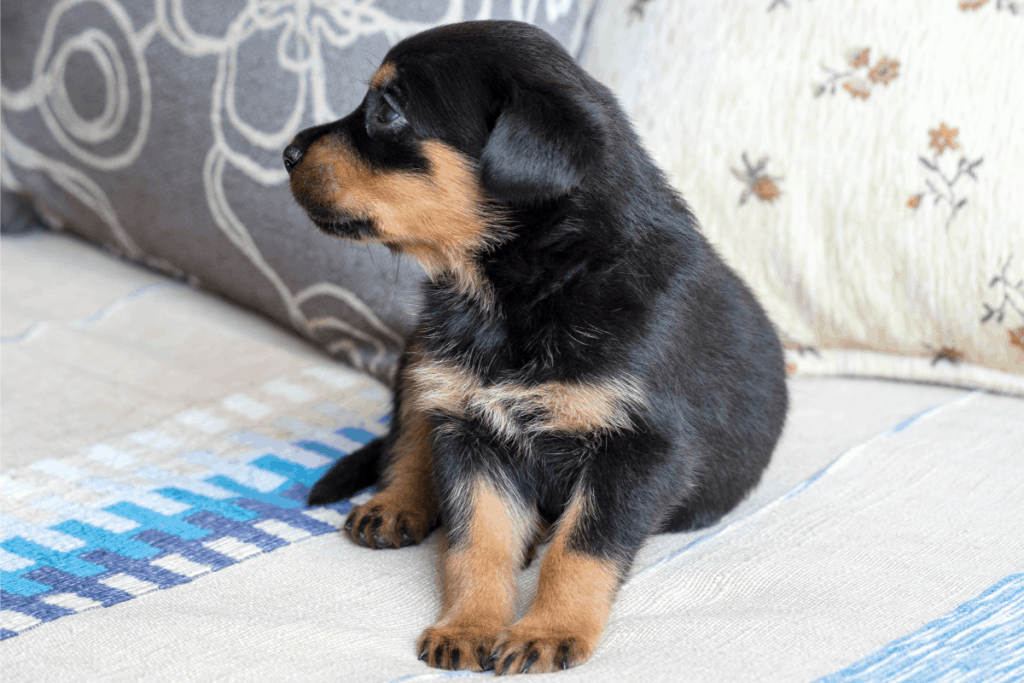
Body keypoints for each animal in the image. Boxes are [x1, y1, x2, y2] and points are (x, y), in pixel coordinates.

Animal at [280, 18, 782, 675]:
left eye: (388, 110)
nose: (286, 153)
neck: (526, 290)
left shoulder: (642, 449)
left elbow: (582, 549)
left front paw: (549, 631)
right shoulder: (471, 428)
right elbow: (477, 542)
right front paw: (468, 625)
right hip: (422, 355)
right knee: (408, 434)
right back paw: (395, 503)